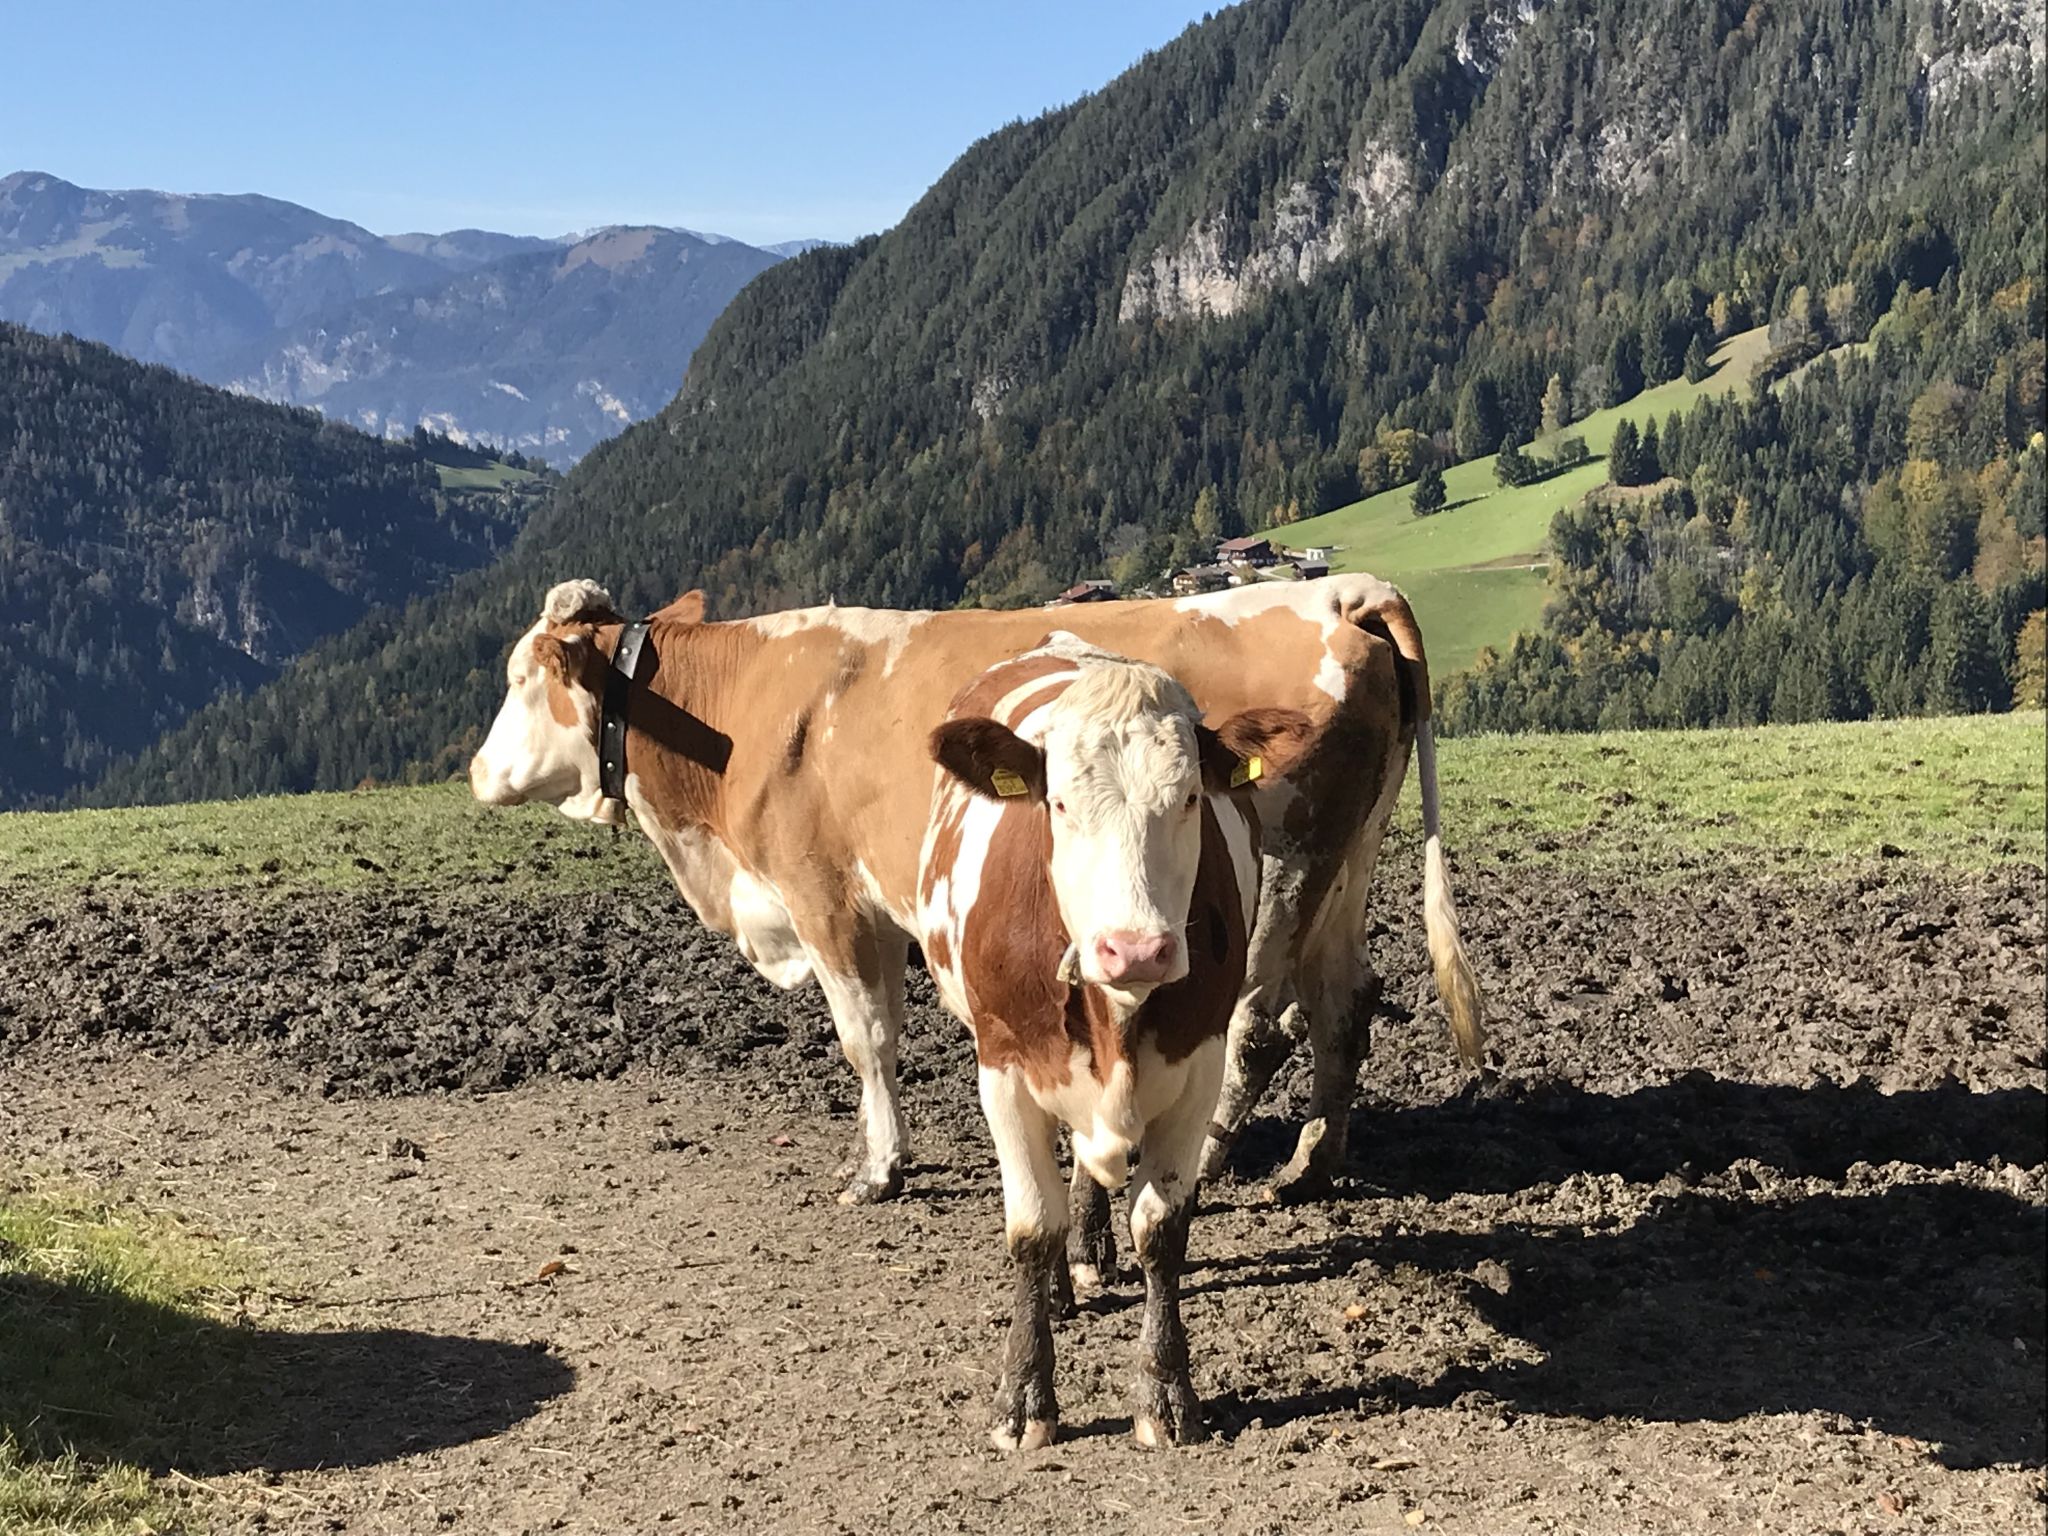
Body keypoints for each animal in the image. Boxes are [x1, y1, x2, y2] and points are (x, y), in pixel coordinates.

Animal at [471, 577, 1482, 1212]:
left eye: (521, 679)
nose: (477, 771)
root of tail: (1341, 591)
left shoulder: (825, 895)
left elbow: (865, 1039)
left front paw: (880, 1168)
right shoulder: (879, 911)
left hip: (1282, 873)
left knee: (1259, 1028)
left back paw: (1219, 1159)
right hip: (1344, 865)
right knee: (1344, 1005)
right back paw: (1313, 1163)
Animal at [917, 638, 1310, 1458]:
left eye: (1190, 798)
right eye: (1060, 804)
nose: (1135, 950)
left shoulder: (1200, 1065)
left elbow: (1160, 1229)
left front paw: (1165, 1392)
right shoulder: (1003, 1068)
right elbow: (1031, 1231)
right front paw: (1024, 1396)